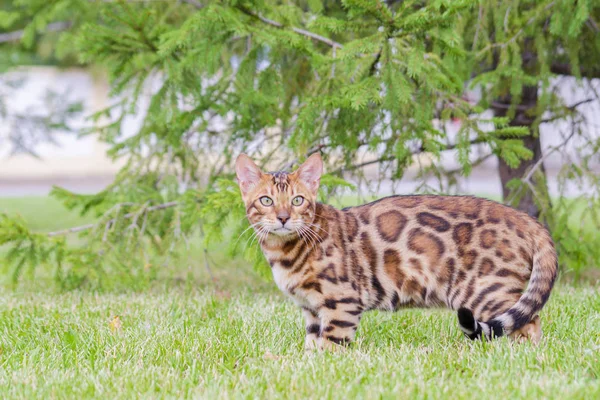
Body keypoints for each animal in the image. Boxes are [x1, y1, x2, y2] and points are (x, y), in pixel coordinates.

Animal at [234, 153, 556, 350]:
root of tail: (524, 217)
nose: (283, 217)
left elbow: (332, 344)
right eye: (266, 200)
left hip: (484, 289)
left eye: (298, 200)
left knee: (529, 323)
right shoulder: (311, 309)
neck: (284, 251)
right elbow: (311, 346)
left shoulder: (341, 302)